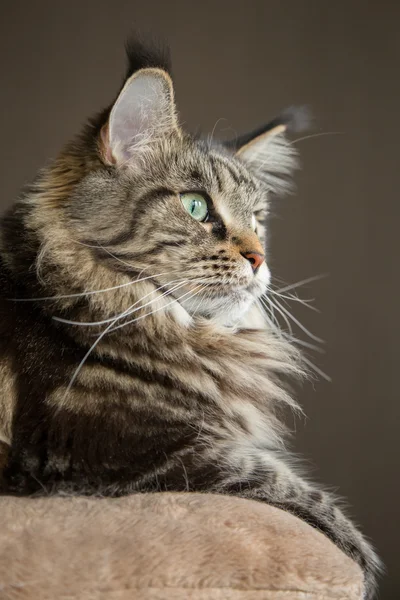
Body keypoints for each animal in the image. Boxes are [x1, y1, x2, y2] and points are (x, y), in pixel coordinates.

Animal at [0, 39, 382, 596]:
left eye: (258, 221)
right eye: (197, 206)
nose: (258, 258)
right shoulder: (123, 451)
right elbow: (289, 486)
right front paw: (362, 563)